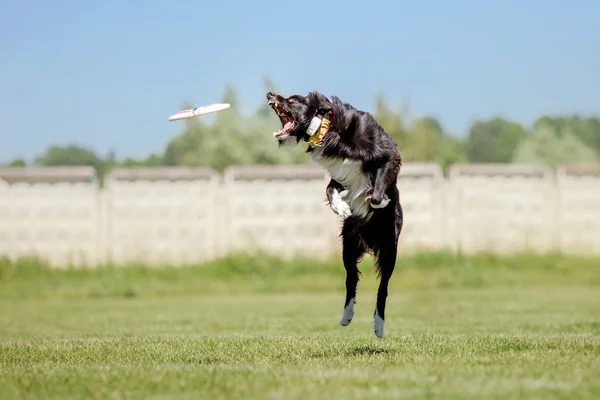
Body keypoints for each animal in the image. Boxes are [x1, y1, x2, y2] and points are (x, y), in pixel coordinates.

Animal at [266, 90, 404, 338]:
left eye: (292, 100)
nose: (270, 93)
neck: (327, 128)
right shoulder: (340, 176)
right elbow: (330, 190)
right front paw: (342, 207)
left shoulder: (389, 153)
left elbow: (377, 192)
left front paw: (375, 199)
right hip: (348, 247)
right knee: (351, 280)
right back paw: (346, 316)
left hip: (389, 249)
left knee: (383, 288)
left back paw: (379, 326)